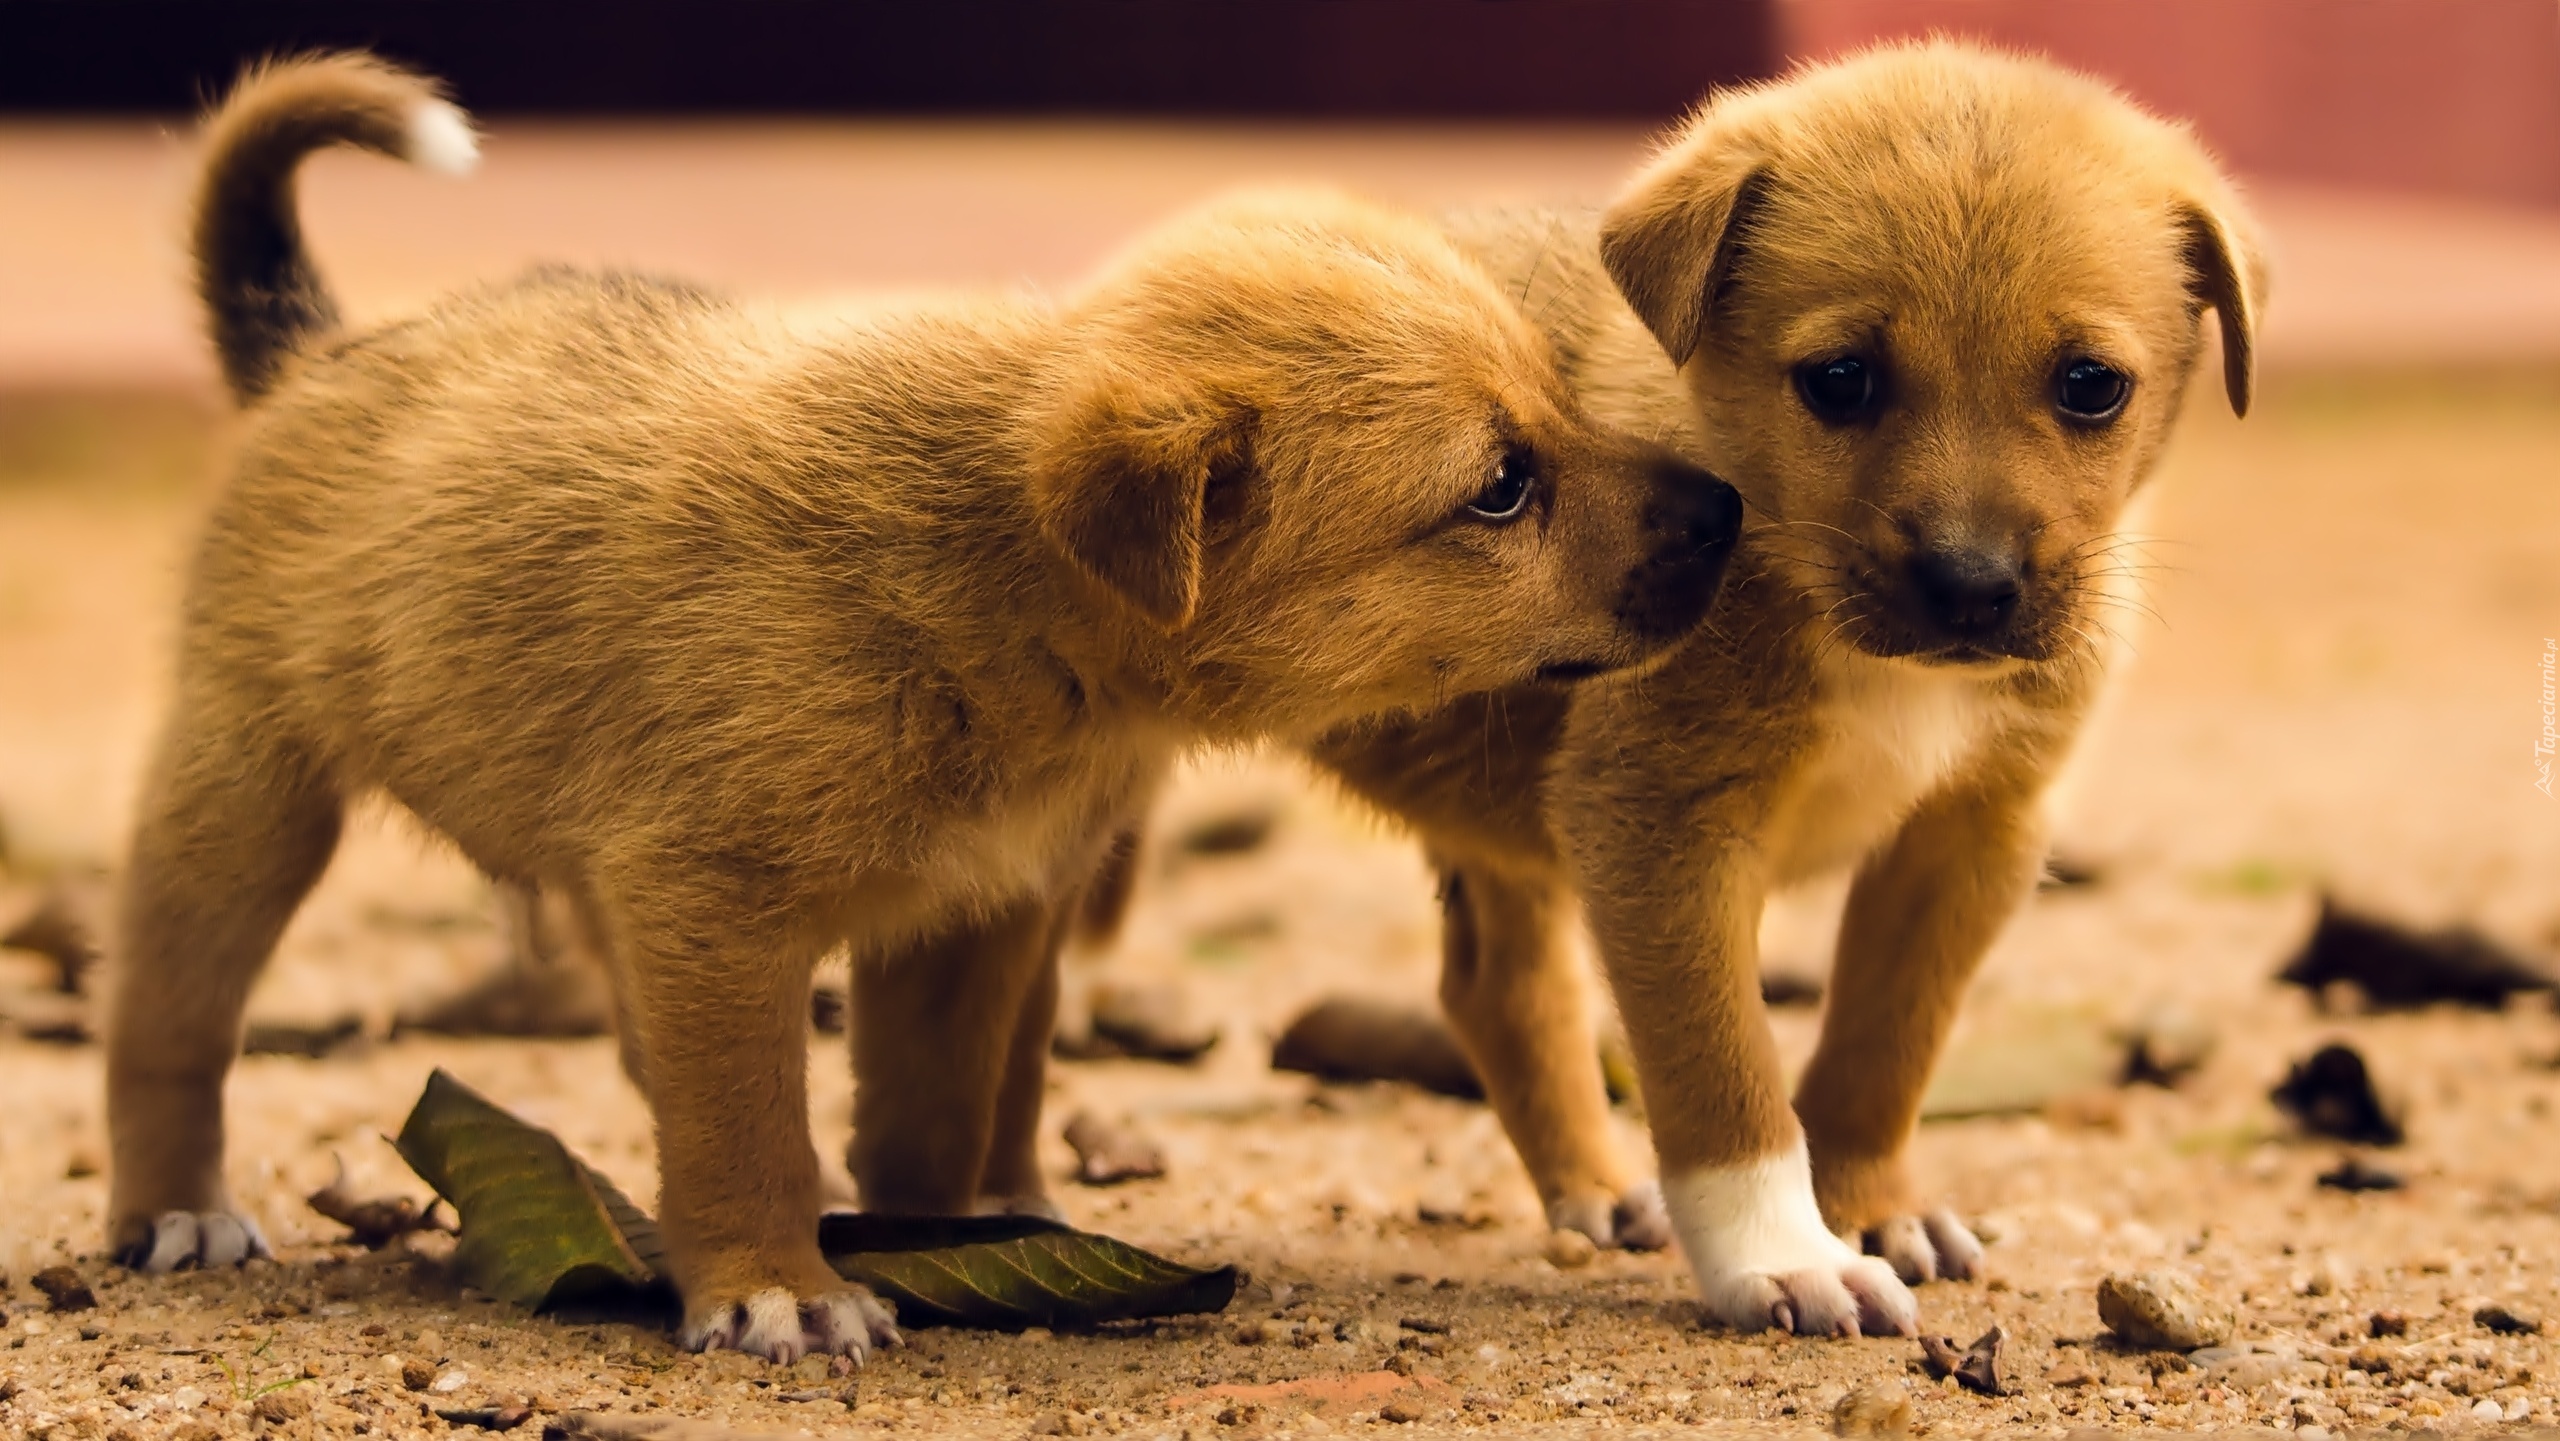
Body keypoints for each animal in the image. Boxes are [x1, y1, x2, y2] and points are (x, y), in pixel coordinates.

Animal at [99, 56, 1740, 1361]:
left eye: (1558, 401)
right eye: (1501, 486)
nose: (1730, 510)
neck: (995, 576)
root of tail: (315, 353)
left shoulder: (967, 913)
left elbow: (927, 1118)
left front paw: (935, 1240)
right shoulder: (716, 906)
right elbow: (748, 1117)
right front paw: (776, 1284)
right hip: (242, 793)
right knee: (169, 1020)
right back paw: (175, 1207)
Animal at [901, 39, 2263, 1341]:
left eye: (2090, 384)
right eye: (1838, 380)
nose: (1970, 587)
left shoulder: (1969, 835)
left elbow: (1886, 1043)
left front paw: (1867, 1206)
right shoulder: (1660, 827)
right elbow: (1726, 1075)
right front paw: (1783, 1254)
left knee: (1493, 987)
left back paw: (1594, 1188)